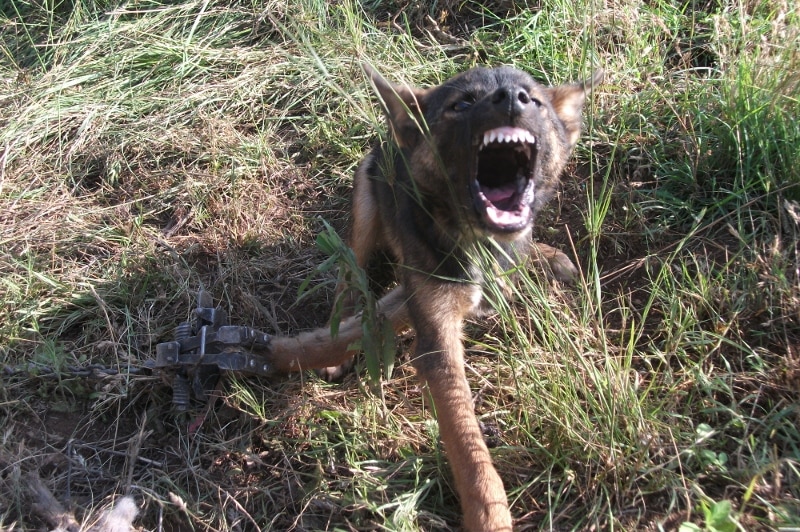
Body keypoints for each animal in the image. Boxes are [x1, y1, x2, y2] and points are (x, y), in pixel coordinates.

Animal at [260, 65, 604, 532]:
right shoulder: (435, 332)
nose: (511, 98)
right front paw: (488, 514)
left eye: (534, 99)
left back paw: (546, 256)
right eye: (462, 103)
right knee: (350, 268)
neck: (477, 241)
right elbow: (465, 440)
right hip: (367, 197)